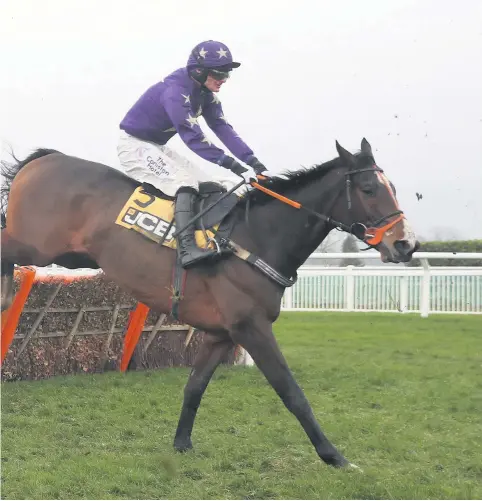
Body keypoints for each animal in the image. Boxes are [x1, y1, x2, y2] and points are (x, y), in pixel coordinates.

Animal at [0, 137, 418, 464]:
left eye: (394, 187)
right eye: (369, 189)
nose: (406, 244)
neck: (255, 236)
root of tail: (42, 160)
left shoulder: (221, 334)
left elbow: (195, 386)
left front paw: (182, 443)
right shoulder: (251, 327)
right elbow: (292, 392)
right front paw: (335, 457)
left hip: (72, 255)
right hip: (40, 246)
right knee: (7, 249)